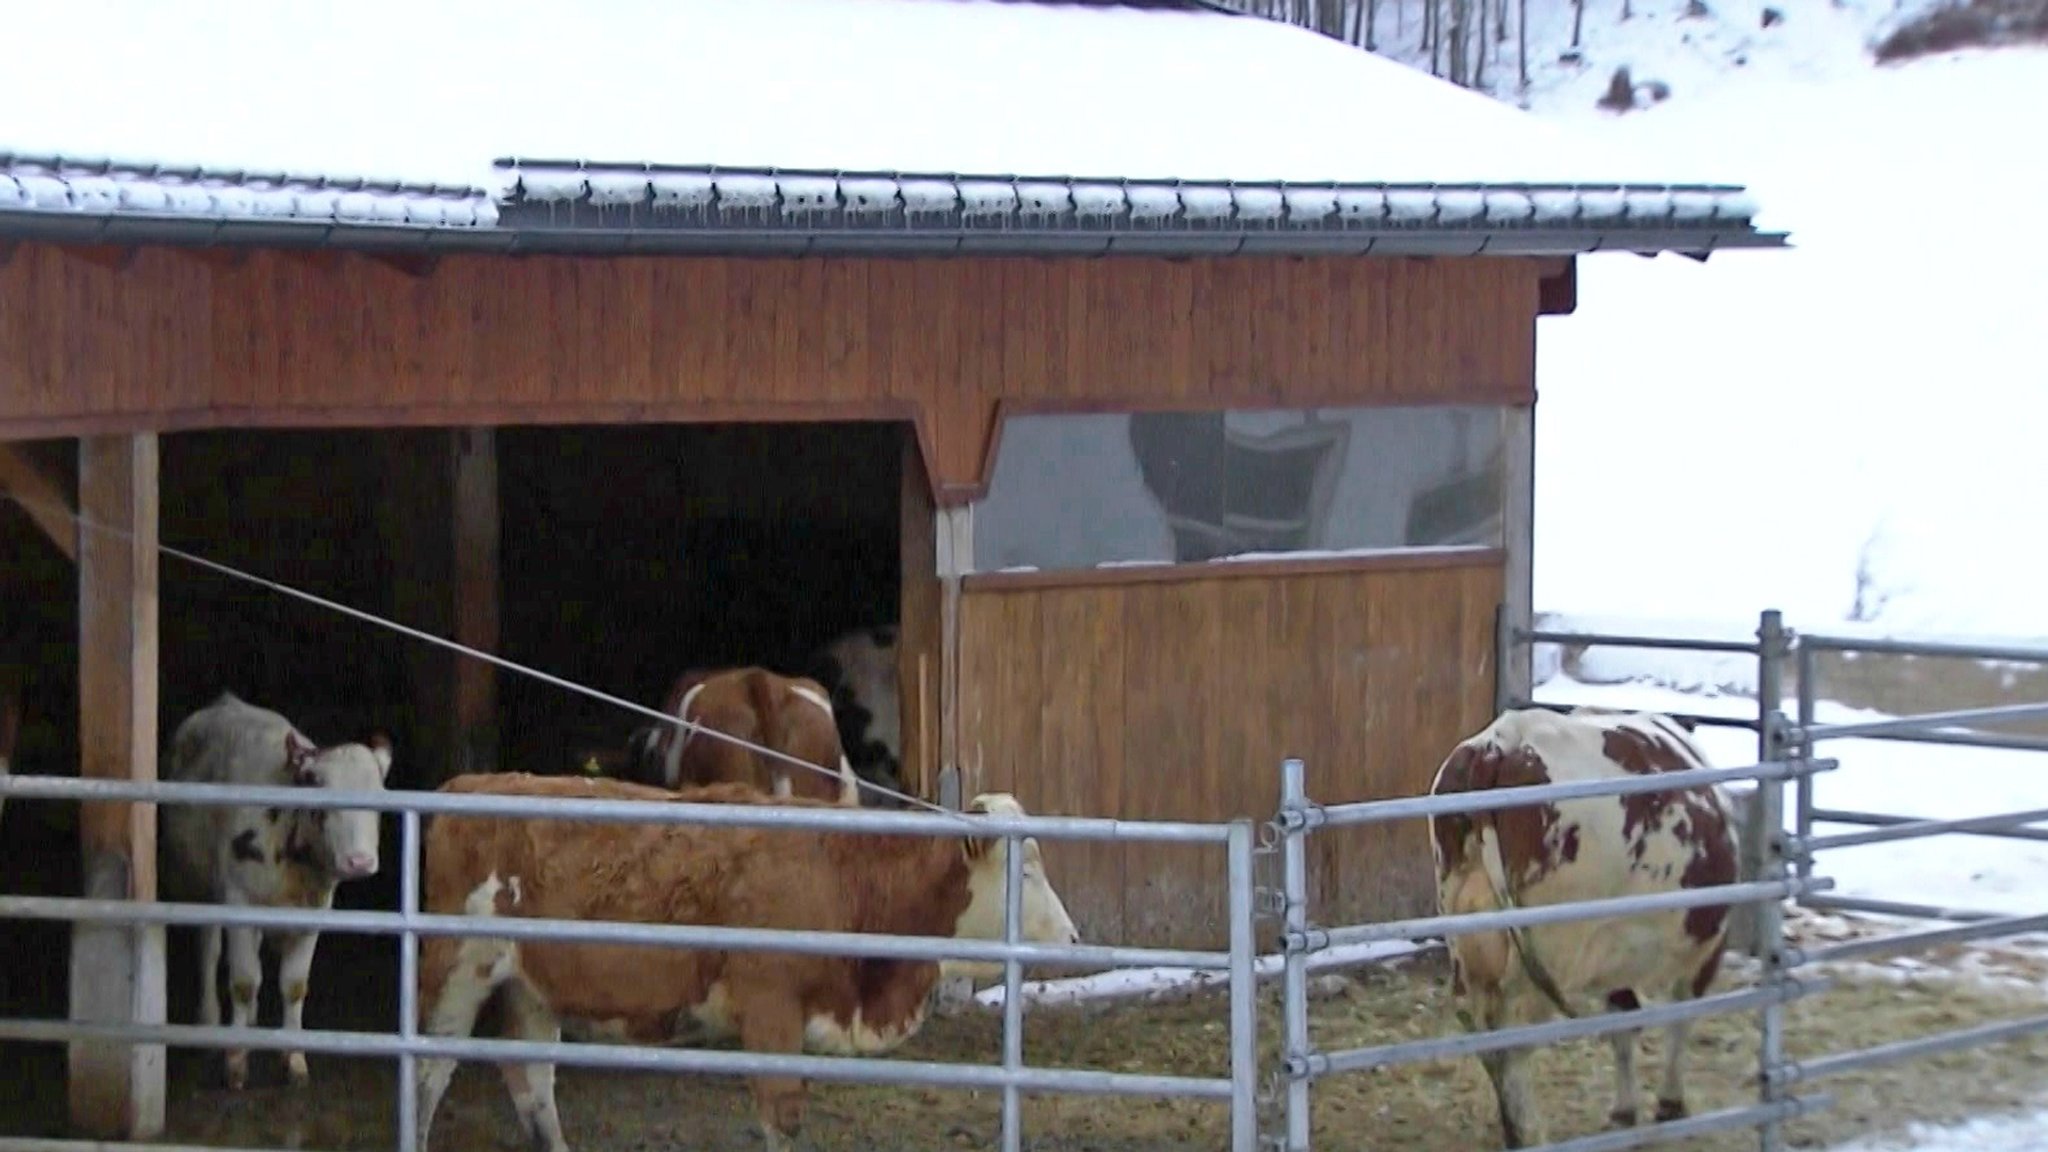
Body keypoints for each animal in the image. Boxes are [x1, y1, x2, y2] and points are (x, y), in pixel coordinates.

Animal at [158, 684, 391, 1090]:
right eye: (320, 789)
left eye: (379, 795)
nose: (359, 861)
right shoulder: (237, 898)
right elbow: (243, 980)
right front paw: (236, 1061)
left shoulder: (315, 910)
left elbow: (294, 985)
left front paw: (293, 1058)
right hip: (197, 884)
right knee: (209, 949)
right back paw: (209, 1019)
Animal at [419, 766, 1089, 1152]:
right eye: (1025, 871)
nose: (1075, 939)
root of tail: (469, 784)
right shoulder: (771, 1013)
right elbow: (781, 1120)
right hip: (455, 972)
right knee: (429, 1075)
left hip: (529, 988)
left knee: (532, 1084)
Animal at [1425, 705, 1744, 1139]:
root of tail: (1504, 740)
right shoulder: (1707, 944)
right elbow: (1679, 1016)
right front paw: (1670, 1104)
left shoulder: (1614, 946)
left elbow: (1624, 1023)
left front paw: (1626, 1111)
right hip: (1548, 951)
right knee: (1515, 1039)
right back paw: (1529, 1133)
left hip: (1469, 941)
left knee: (1483, 1030)